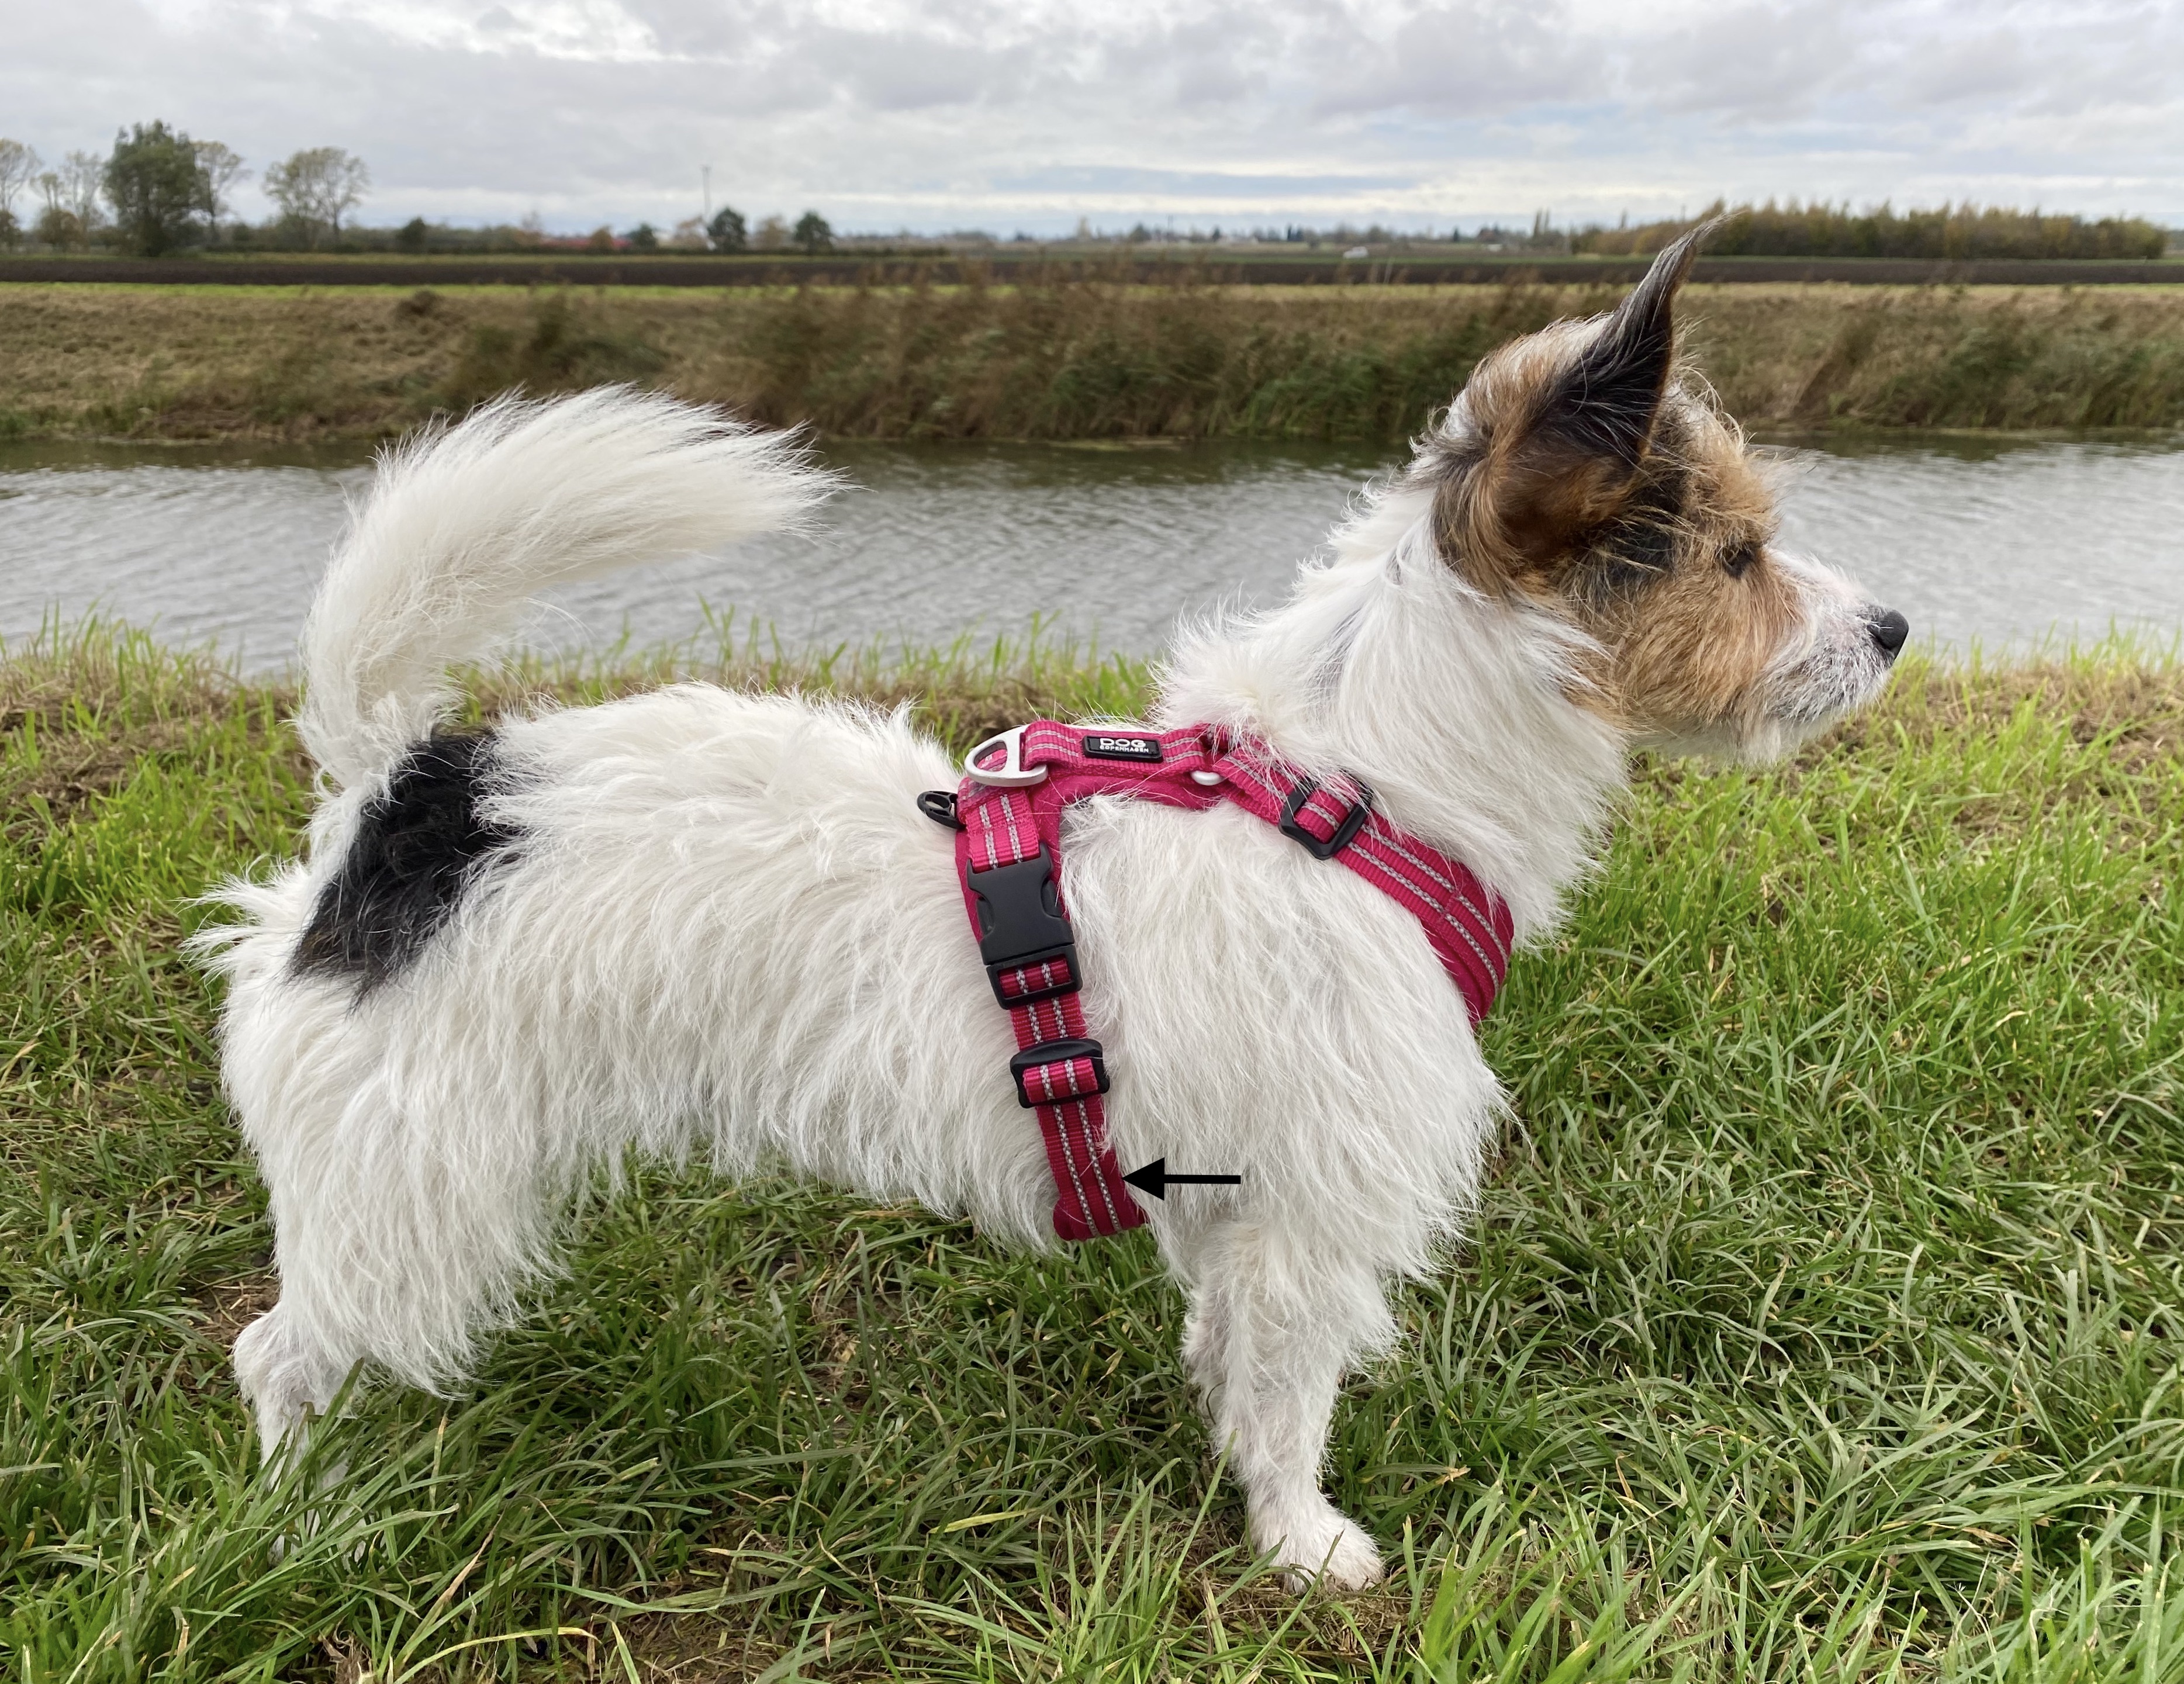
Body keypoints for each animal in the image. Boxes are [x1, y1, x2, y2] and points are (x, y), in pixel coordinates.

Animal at [205, 230, 1913, 1590]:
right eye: (1737, 556)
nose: (1896, 625)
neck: (1365, 786)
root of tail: (409, 792)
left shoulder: (1240, 1206)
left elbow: (1234, 1357)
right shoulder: (1313, 1209)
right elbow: (1291, 1395)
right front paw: (1302, 1542)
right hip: (406, 1189)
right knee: (274, 1351)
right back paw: (304, 1517)